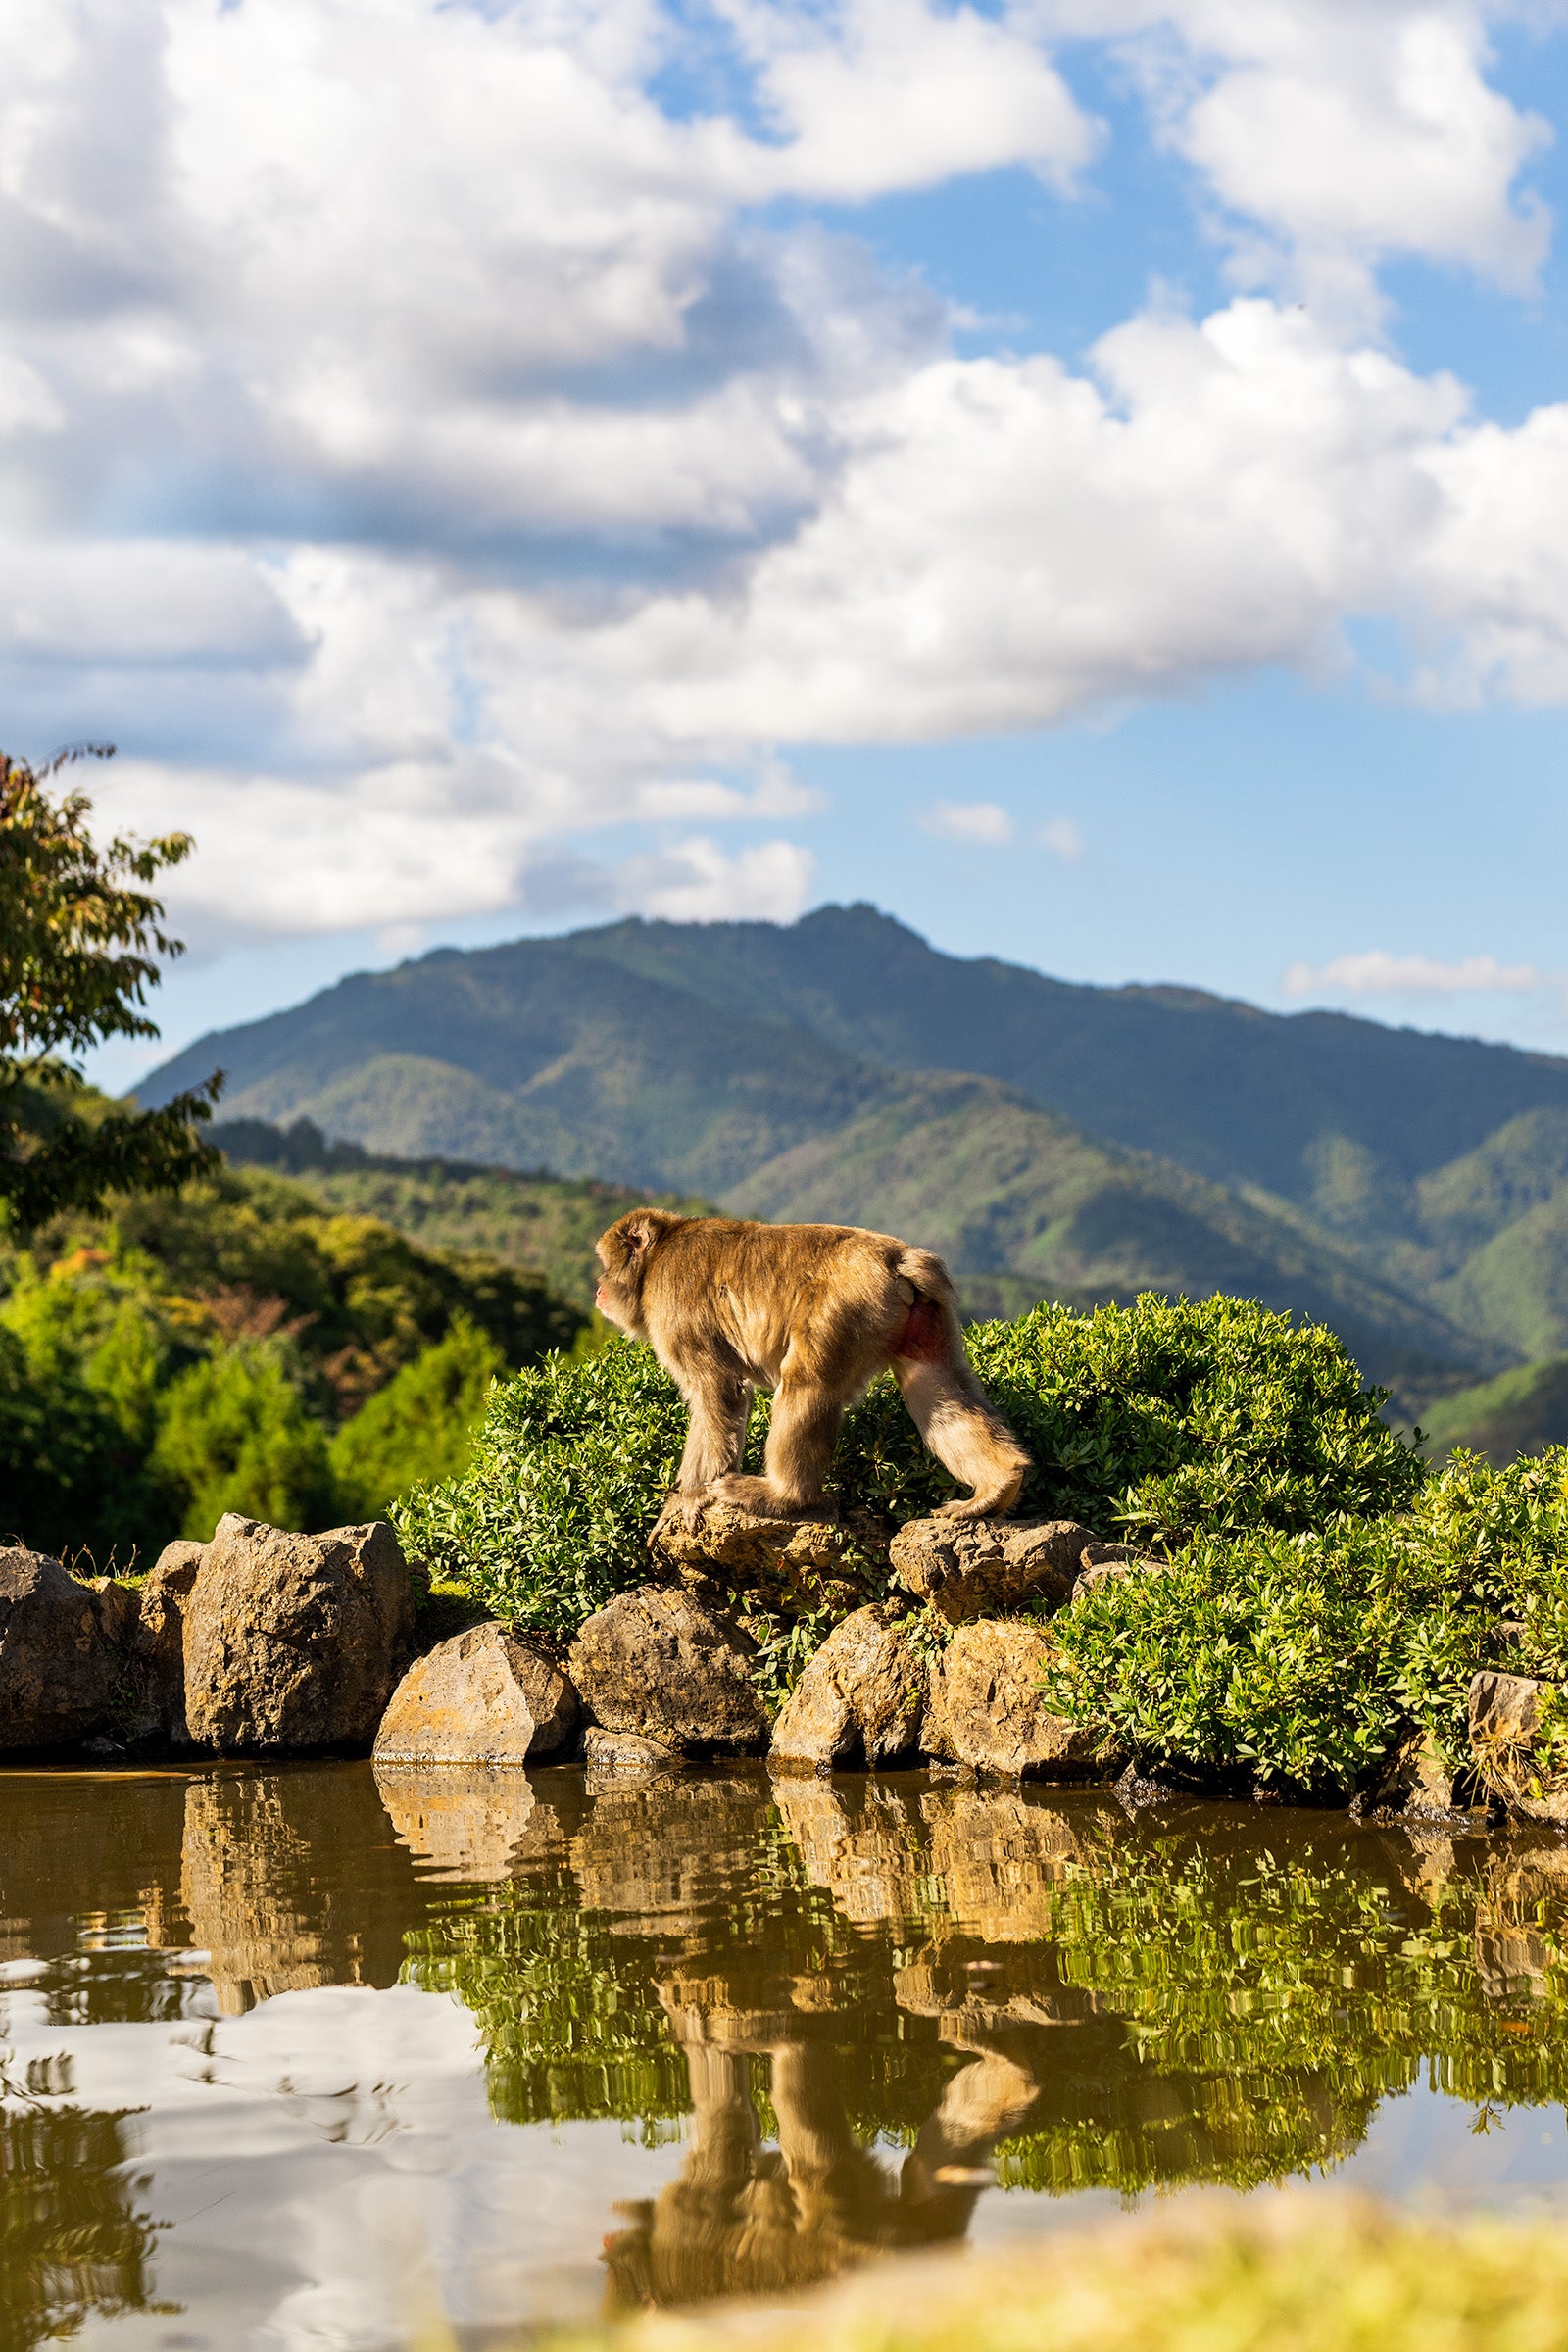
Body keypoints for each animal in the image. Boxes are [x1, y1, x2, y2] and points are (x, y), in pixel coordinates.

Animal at [593, 1210, 1031, 1522]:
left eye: (604, 1264)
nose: (597, 1287)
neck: (658, 1257)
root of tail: (898, 1258)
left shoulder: (674, 1309)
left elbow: (719, 1389)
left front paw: (687, 1499)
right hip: (921, 1316)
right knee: (936, 1387)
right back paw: (999, 1483)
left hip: (845, 1305)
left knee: (806, 1382)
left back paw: (783, 1495)